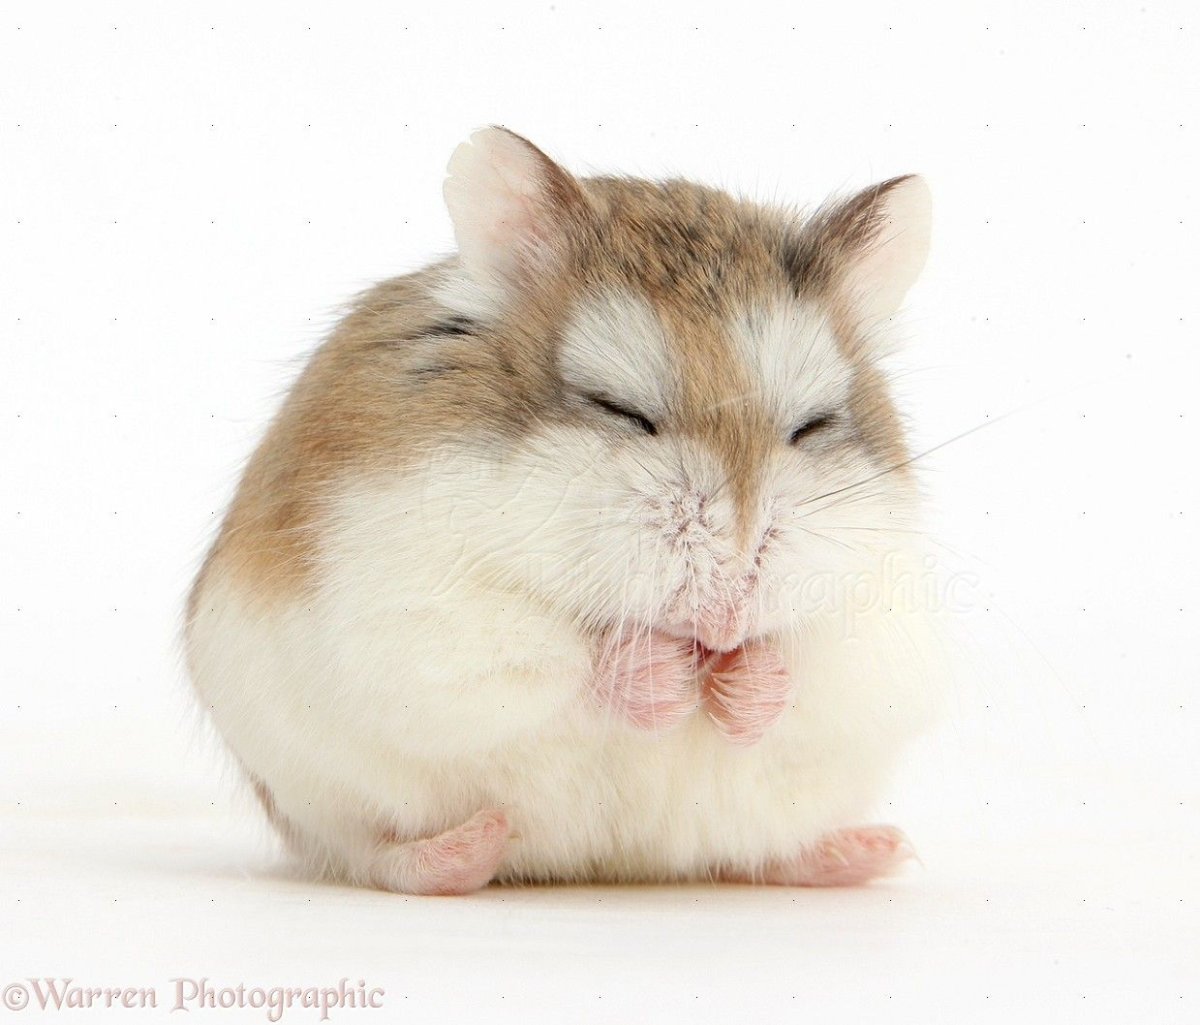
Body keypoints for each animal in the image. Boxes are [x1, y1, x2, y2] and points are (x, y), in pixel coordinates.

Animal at [186, 127, 944, 895]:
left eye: (810, 426)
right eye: (621, 409)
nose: (725, 621)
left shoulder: (884, 628)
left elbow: (810, 669)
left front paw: (740, 683)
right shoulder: (414, 605)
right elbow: (567, 663)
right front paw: (667, 677)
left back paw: (870, 852)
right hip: (310, 790)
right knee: (368, 853)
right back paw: (470, 847)